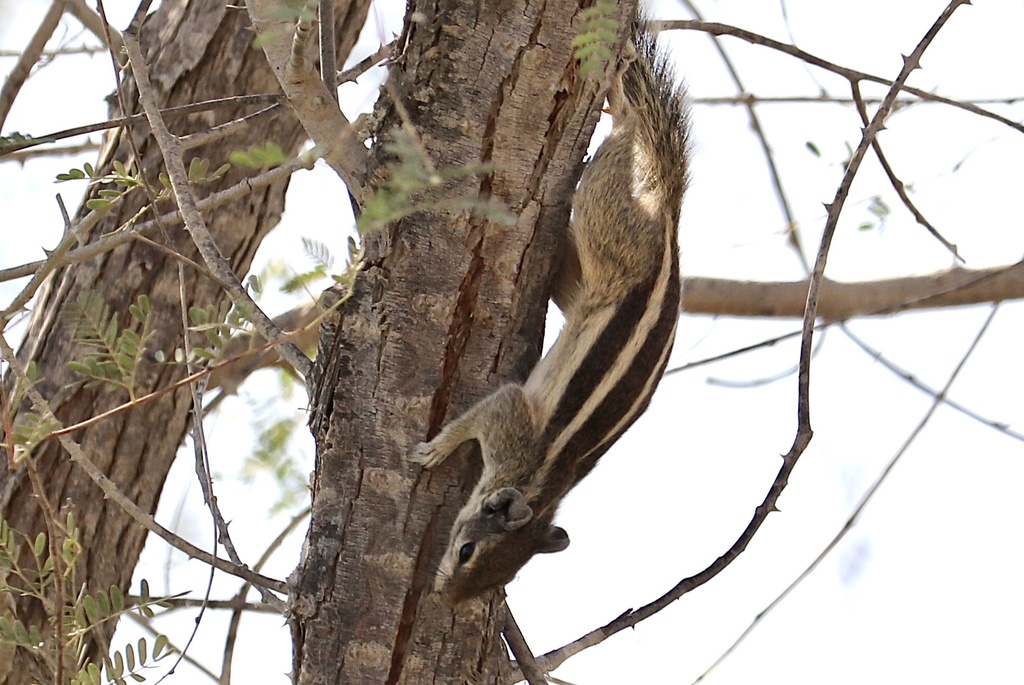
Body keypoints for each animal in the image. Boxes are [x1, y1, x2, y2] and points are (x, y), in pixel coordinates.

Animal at [410, 20, 690, 606]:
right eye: (466, 552)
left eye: (502, 576)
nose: (445, 598)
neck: (543, 484)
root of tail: (670, 222)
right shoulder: (509, 420)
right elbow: (483, 412)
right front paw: (435, 452)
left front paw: (435, 450)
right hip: (605, 226)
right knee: (626, 146)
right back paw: (619, 101)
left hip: (592, 260)